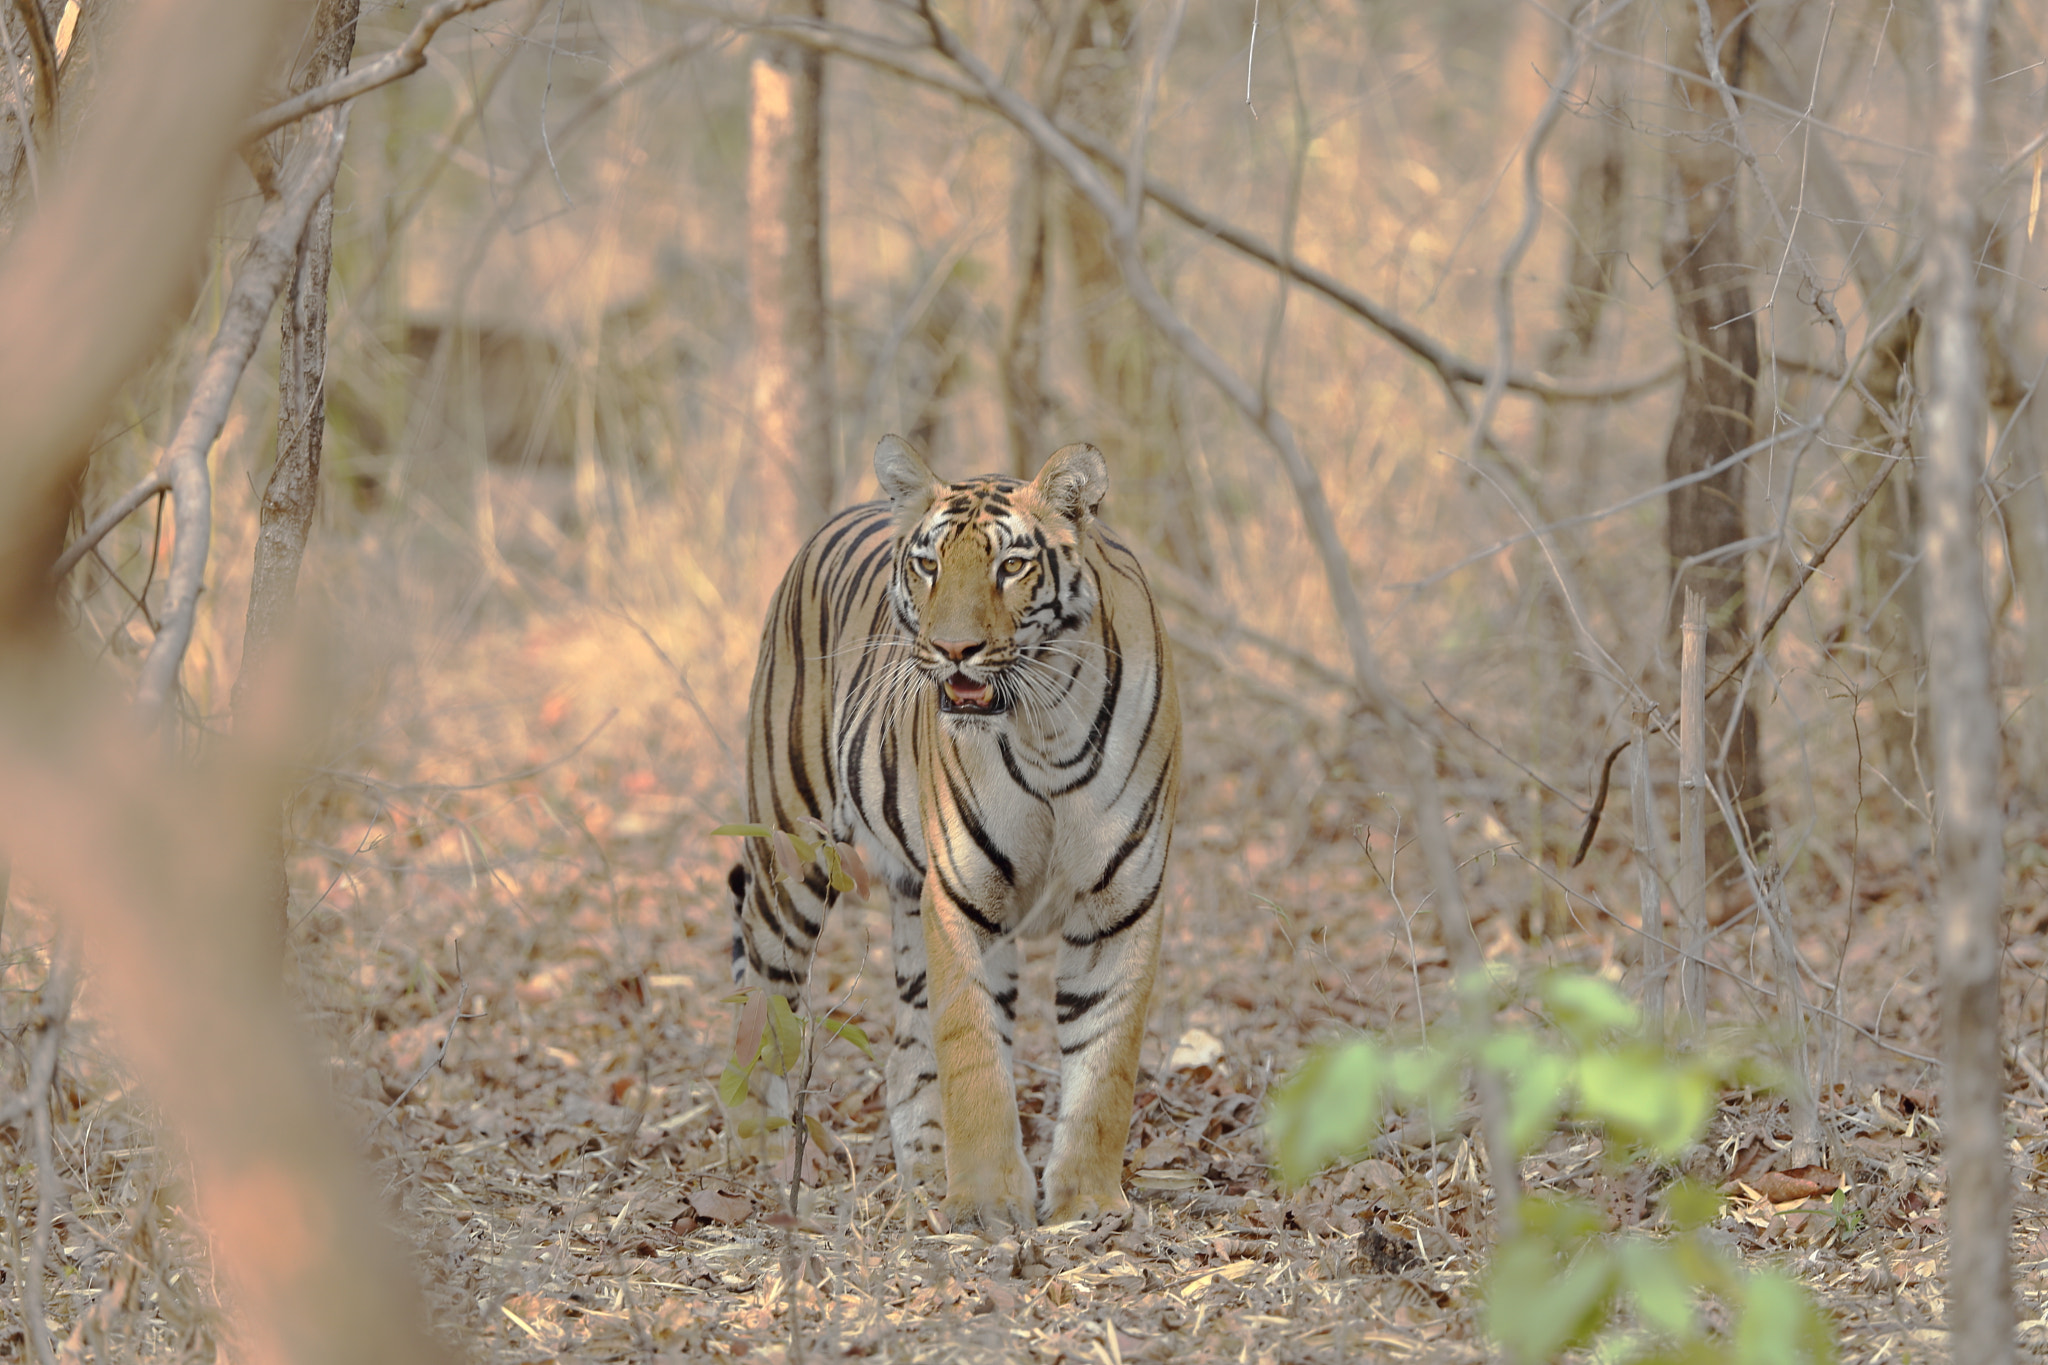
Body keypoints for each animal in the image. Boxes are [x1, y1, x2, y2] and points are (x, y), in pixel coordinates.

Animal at [724, 437, 1179, 1236]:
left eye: (1012, 566)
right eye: (929, 564)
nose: (954, 648)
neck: (1048, 726)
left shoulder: (1120, 901)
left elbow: (1105, 1062)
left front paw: (1088, 1202)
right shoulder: (963, 896)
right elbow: (973, 1052)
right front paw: (988, 1202)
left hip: (906, 890)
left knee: (905, 1057)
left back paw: (924, 1173)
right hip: (790, 856)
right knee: (765, 1004)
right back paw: (770, 1154)